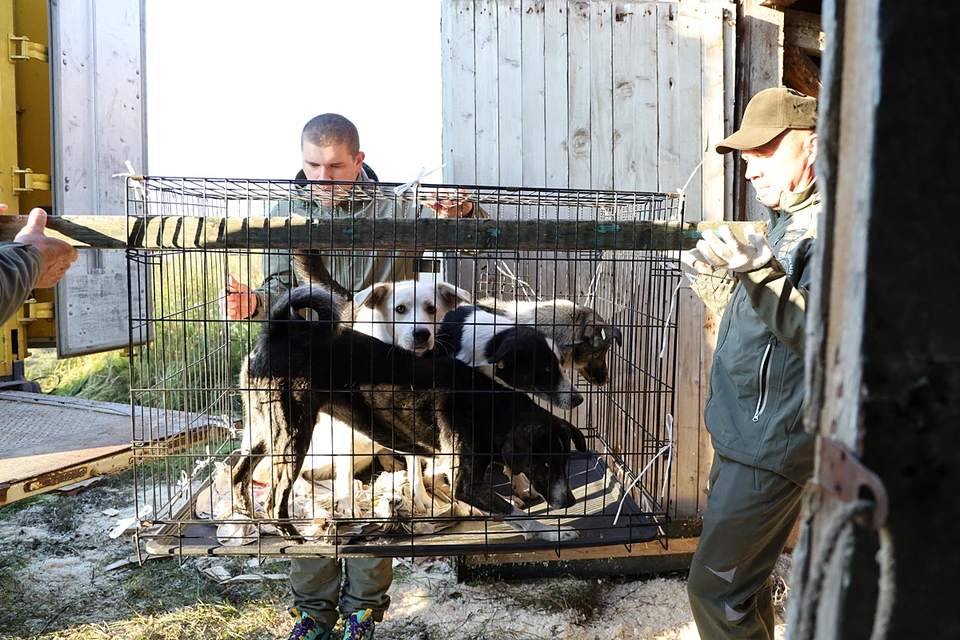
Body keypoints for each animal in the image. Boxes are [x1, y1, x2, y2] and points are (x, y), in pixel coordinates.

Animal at [125, 178, 684, 556]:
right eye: (548, 369)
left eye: (566, 462)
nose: (581, 396)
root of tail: (282, 327)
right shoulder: (467, 468)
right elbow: (495, 502)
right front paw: (538, 524)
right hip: (295, 431)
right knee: (278, 493)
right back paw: (297, 532)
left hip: (264, 425)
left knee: (242, 470)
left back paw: (249, 518)